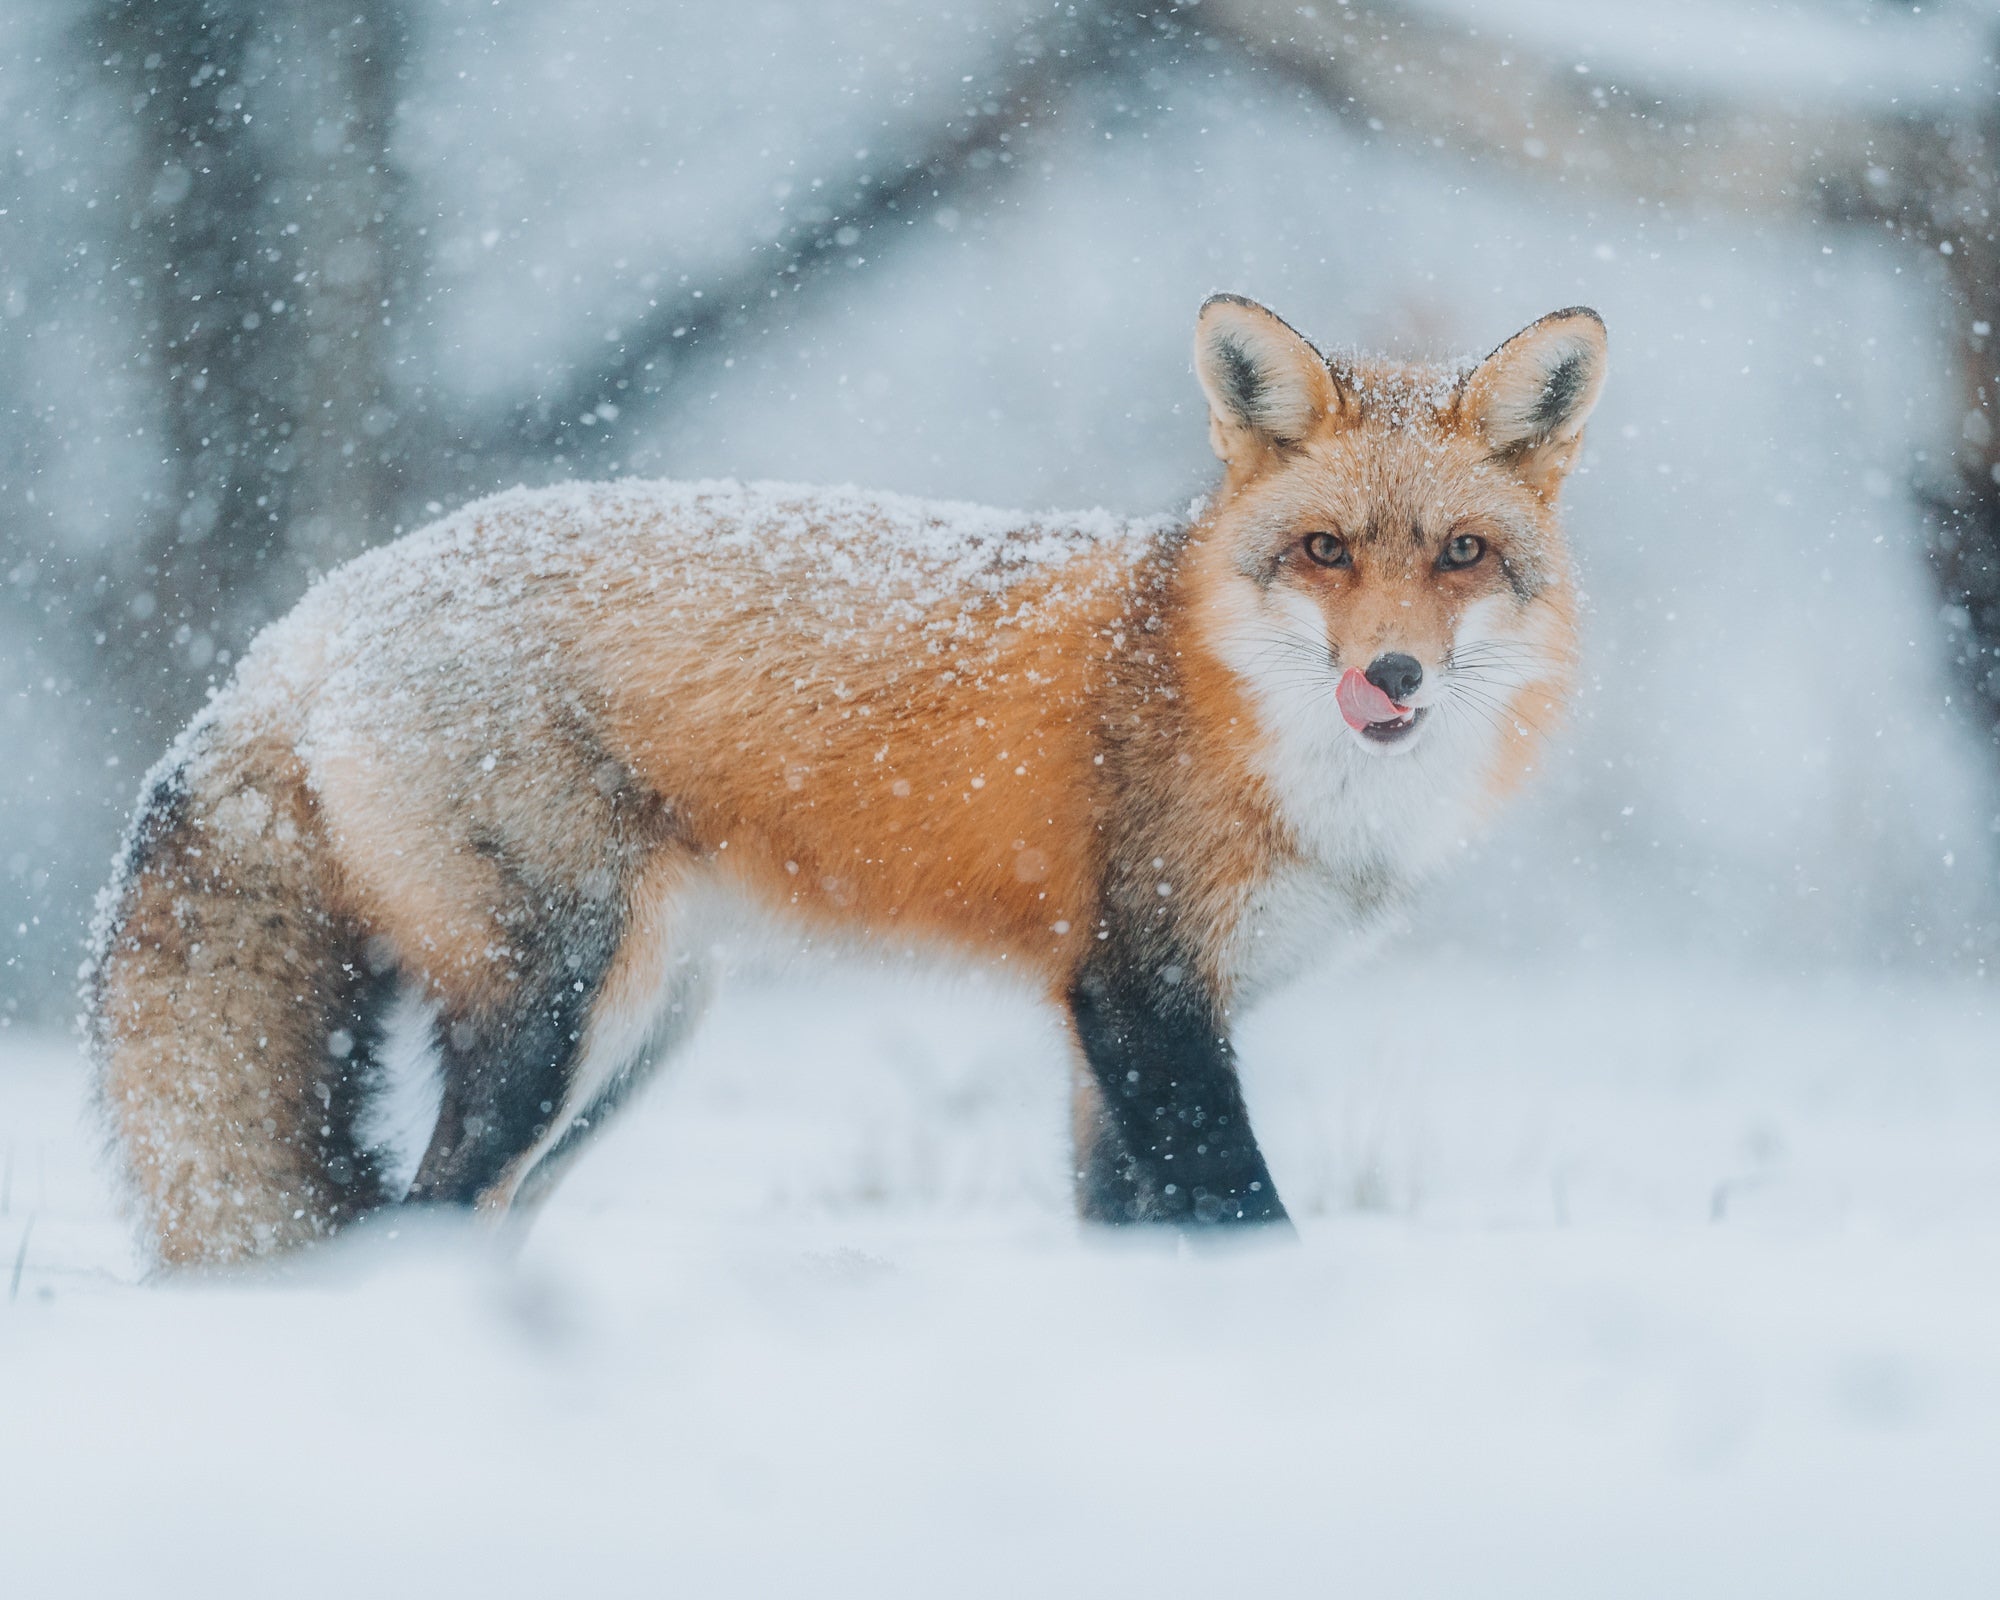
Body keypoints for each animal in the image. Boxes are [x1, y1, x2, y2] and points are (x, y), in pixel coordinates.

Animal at [85, 294, 1605, 1267]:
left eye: (1462, 554)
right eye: (1326, 551)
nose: (1393, 675)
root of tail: (306, 620)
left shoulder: (1108, 1030)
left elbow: (1130, 1230)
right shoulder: (1144, 996)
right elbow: (1245, 1216)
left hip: (641, 1038)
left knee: (473, 1215)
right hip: (553, 1015)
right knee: (428, 1208)